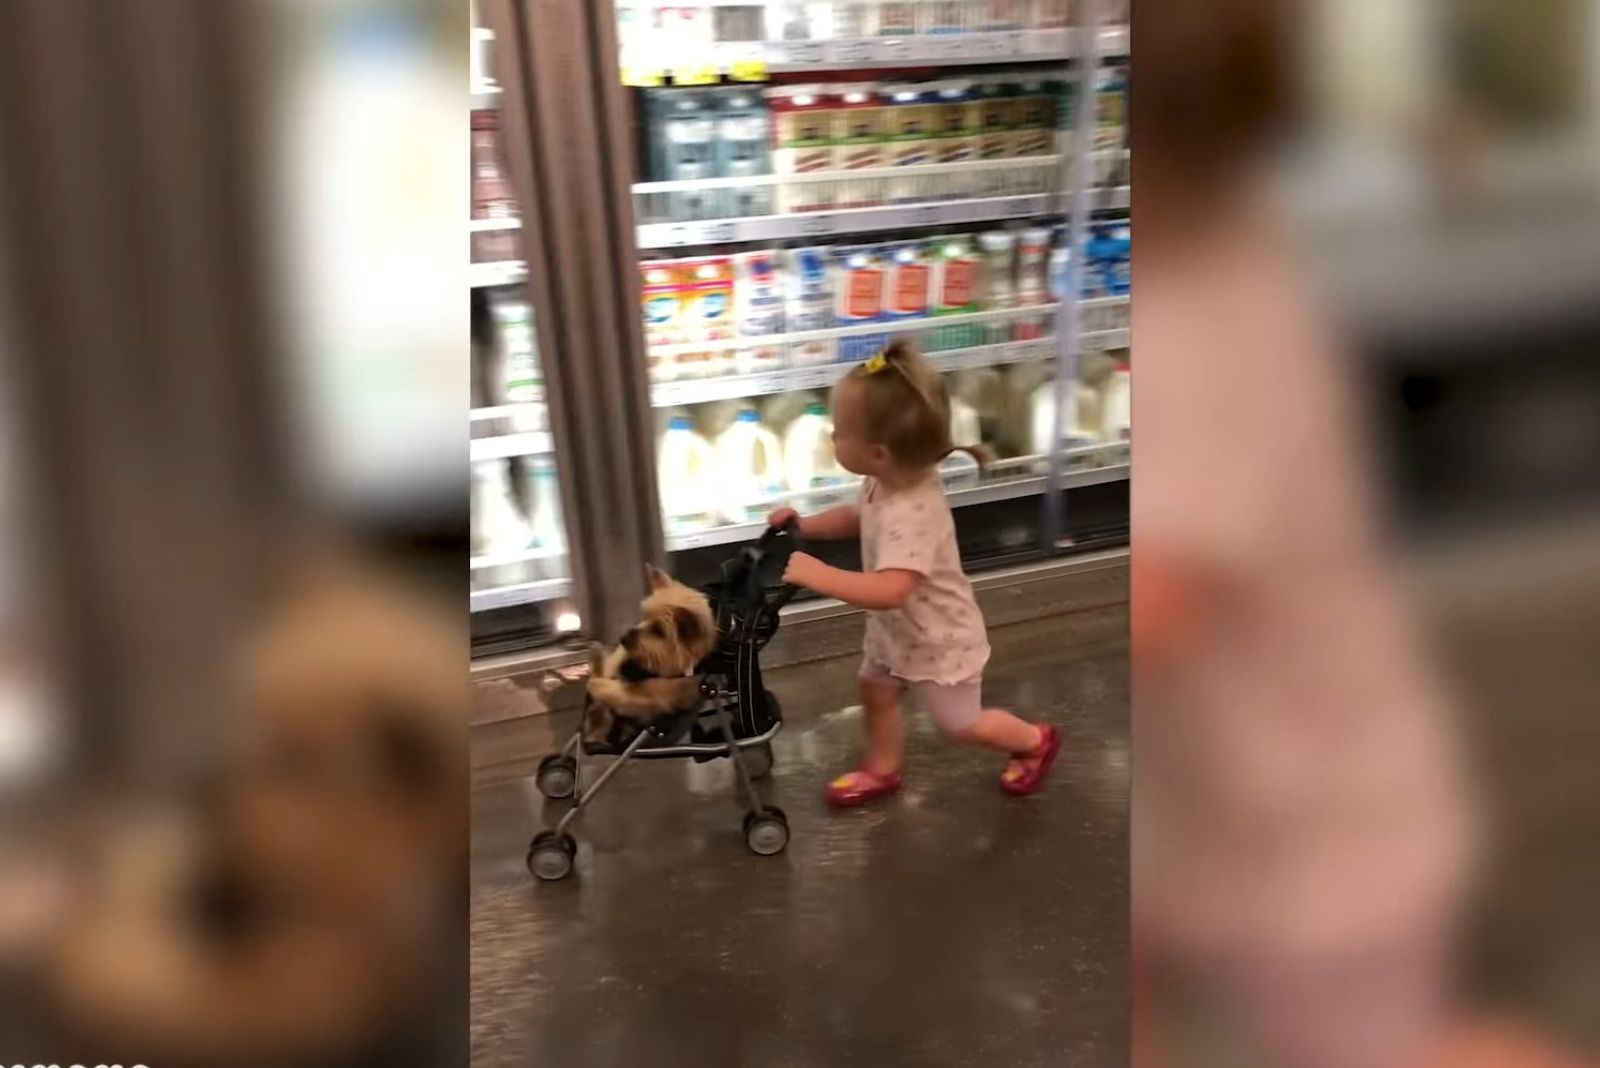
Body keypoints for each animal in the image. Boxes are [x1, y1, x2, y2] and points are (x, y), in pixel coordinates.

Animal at [585, 565, 716, 741]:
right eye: (644, 616)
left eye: (658, 630)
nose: (622, 638)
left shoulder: (660, 694)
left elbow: (622, 692)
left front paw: (596, 684)